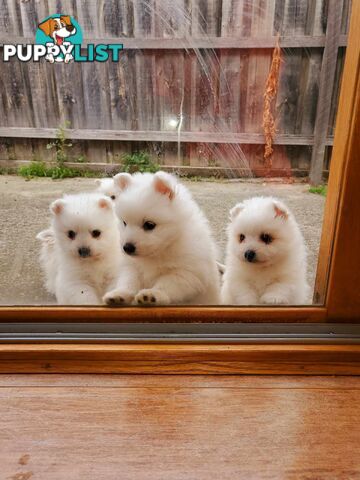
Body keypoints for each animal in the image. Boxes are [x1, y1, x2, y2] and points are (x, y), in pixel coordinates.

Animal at [102, 172, 219, 304]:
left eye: (149, 225)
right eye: (124, 223)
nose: (127, 247)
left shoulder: (187, 273)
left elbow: (167, 283)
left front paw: (153, 294)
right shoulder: (132, 266)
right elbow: (129, 281)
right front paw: (119, 294)